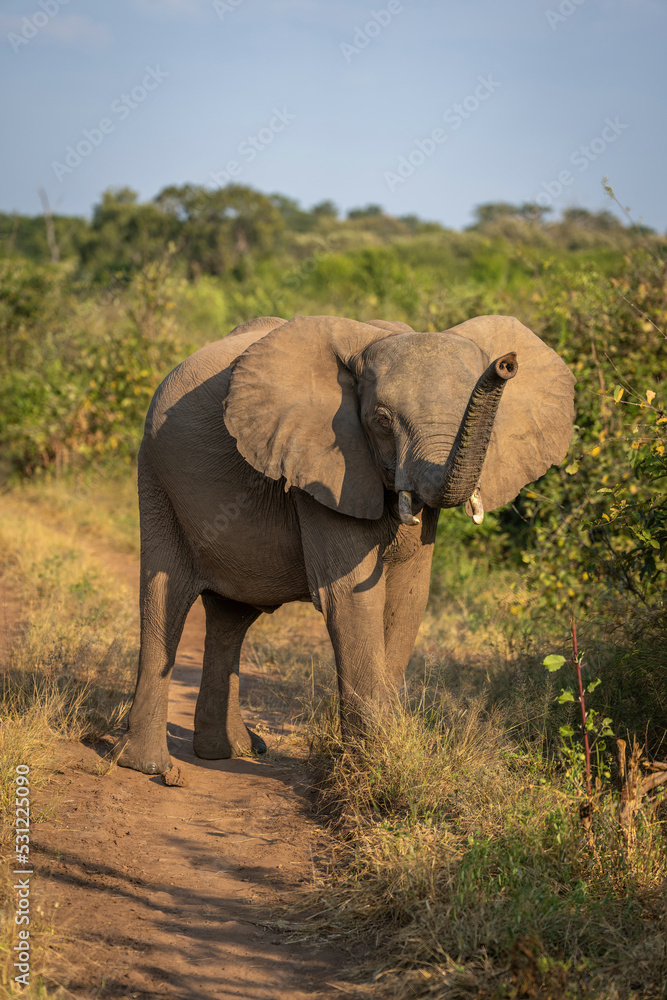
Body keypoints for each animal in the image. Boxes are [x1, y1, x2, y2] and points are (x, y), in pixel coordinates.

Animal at [115, 313, 575, 775]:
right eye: (383, 420)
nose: (506, 363)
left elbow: (409, 596)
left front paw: (381, 754)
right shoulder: (321, 472)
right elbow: (352, 597)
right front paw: (373, 764)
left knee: (231, 617)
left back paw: (233, 752)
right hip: (157, 478)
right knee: (165, 600)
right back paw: (152, 767)